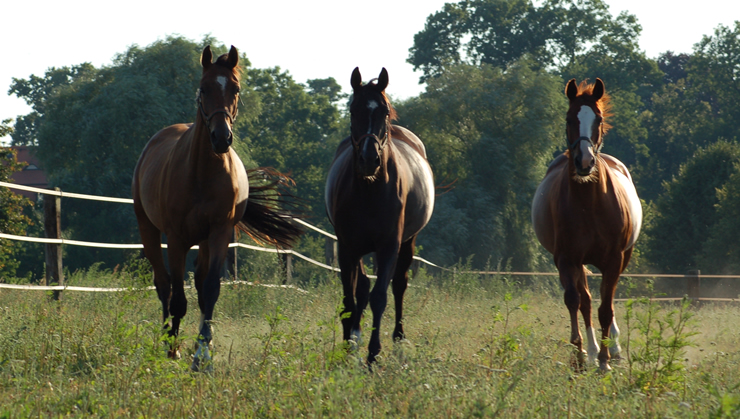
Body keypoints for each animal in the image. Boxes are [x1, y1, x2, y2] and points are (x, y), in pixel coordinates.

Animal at [134, 46, 302, 374]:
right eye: (203, 88)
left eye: (235, 89)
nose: (221, 138)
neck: (202, 172)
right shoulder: (176, 239)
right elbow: (178, 297)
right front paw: (174, 349)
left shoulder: (220, 233)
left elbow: (210, 290)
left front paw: (202, 355)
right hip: (149, 229)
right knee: (164, 284)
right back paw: (166, 342)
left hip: (204, 240)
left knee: (198, 284)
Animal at [324, 67, 434, 366]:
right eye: (353, 110)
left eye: (383, 111)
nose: (369, 159)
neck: (369, 190)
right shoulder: (348, 247)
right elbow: (350, 300)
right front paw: (348, 346)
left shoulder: (388, 246)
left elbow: (380, 297)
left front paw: (374, 354)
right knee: (361, 288)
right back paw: (355, 336)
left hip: (407, 243)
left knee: (399, 286)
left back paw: (398, 337)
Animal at [532, 78, 640, 370]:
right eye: (569, 118)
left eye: (598, 118)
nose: (584, 161)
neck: (589, 204)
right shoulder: (567, 259)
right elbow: (575, 301)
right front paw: (581, 355)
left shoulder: (614, 259)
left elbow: (606, 308)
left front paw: (605, 360)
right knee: (586, 301)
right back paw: (591, 351)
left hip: (622, 257)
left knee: (603, 301)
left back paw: (611, 348)